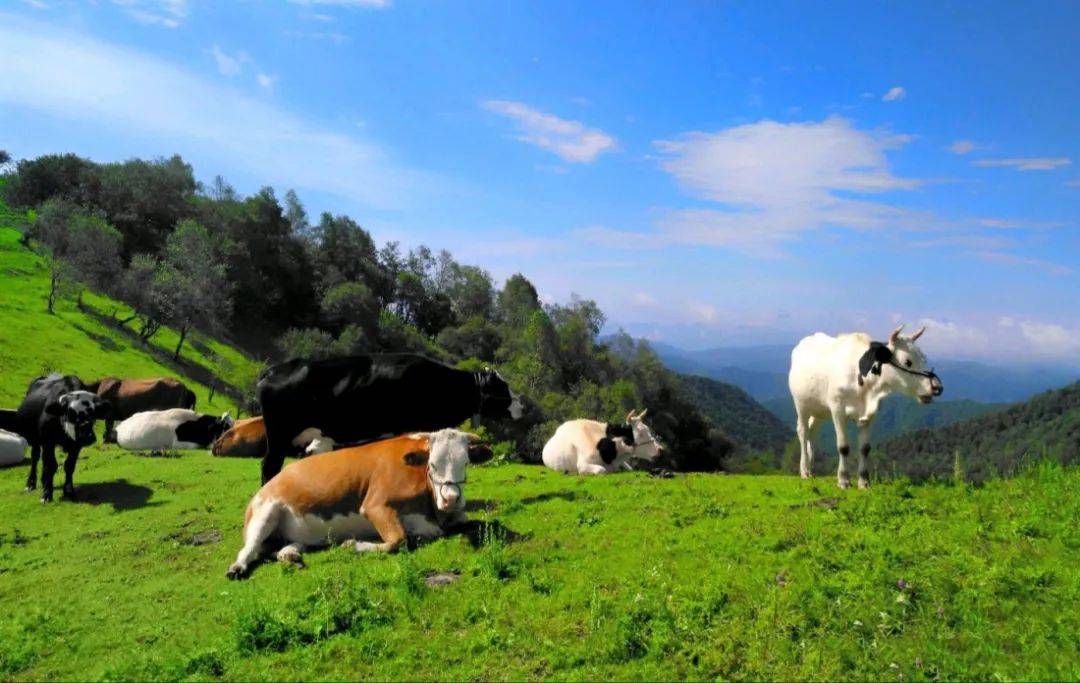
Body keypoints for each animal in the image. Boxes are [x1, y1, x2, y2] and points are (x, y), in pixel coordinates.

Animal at [9, 373, 108, 501]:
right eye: (70, 412)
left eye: (93, 413)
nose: (87, 436)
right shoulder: (48, 441)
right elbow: (51, 465)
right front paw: (46, 494)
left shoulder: (76, 445)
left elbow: (69, 465)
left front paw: (69, 491)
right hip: (35, 439)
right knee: (35, 457)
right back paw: (31, 483)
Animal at [225, 430, 492, 579]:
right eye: (433, 465)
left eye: (466, 463)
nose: (451, 499)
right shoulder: (375, 504)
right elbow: (398, 540)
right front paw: (352, 545)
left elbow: (461, 521)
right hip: (265, 511)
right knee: (250, 547)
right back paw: (237, 567)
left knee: (281, 547)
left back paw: (291, 555)